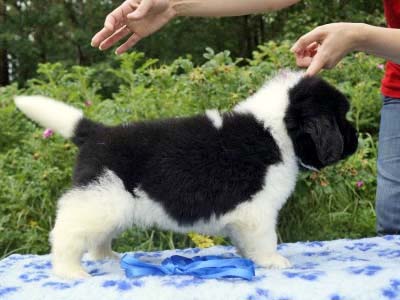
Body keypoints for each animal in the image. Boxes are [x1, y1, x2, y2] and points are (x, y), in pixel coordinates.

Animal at [14, 70, 360, 278]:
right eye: (342, 117)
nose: (356, 139)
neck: (277, 131)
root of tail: (97, 133)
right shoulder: (257, 210)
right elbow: (265, 238)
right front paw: (272, 261)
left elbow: (245, 240)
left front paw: (246, 257)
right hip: (98, 199)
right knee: (66, 234)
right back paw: (69, 271)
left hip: (107, 202)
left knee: (97, 236)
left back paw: (107, 257)